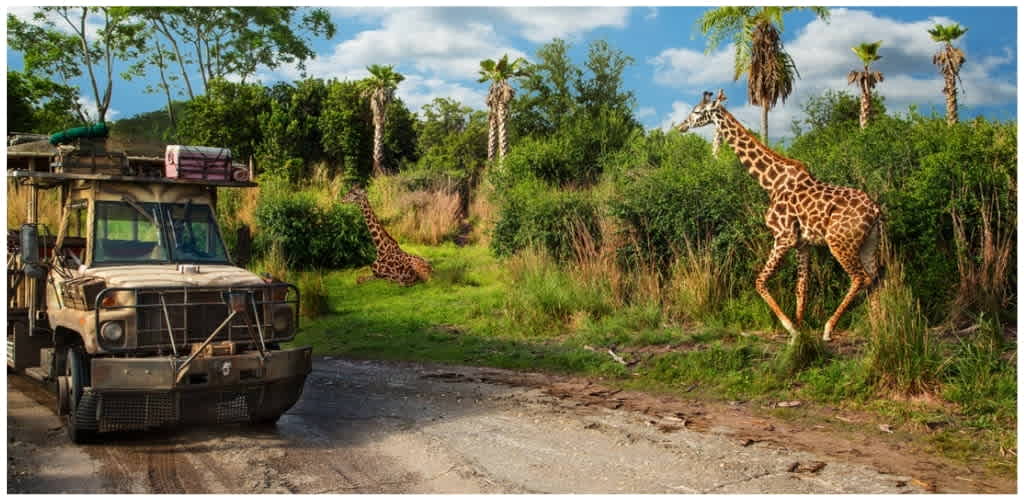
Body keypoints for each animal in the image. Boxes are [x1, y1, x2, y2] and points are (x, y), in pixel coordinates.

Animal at [677, 90, 883, 342]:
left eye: (697, 111)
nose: (681, 126)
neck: (771, 183)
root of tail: (875, 211)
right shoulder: (803, 243)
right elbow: (801, 288)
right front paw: (801, 333)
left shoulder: (783, 237)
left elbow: (759, 281)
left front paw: (791, 328)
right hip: (868, 243)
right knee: (874, 278)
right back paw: (879, 329)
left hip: (840, 242)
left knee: (860, 278)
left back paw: (829, 328)